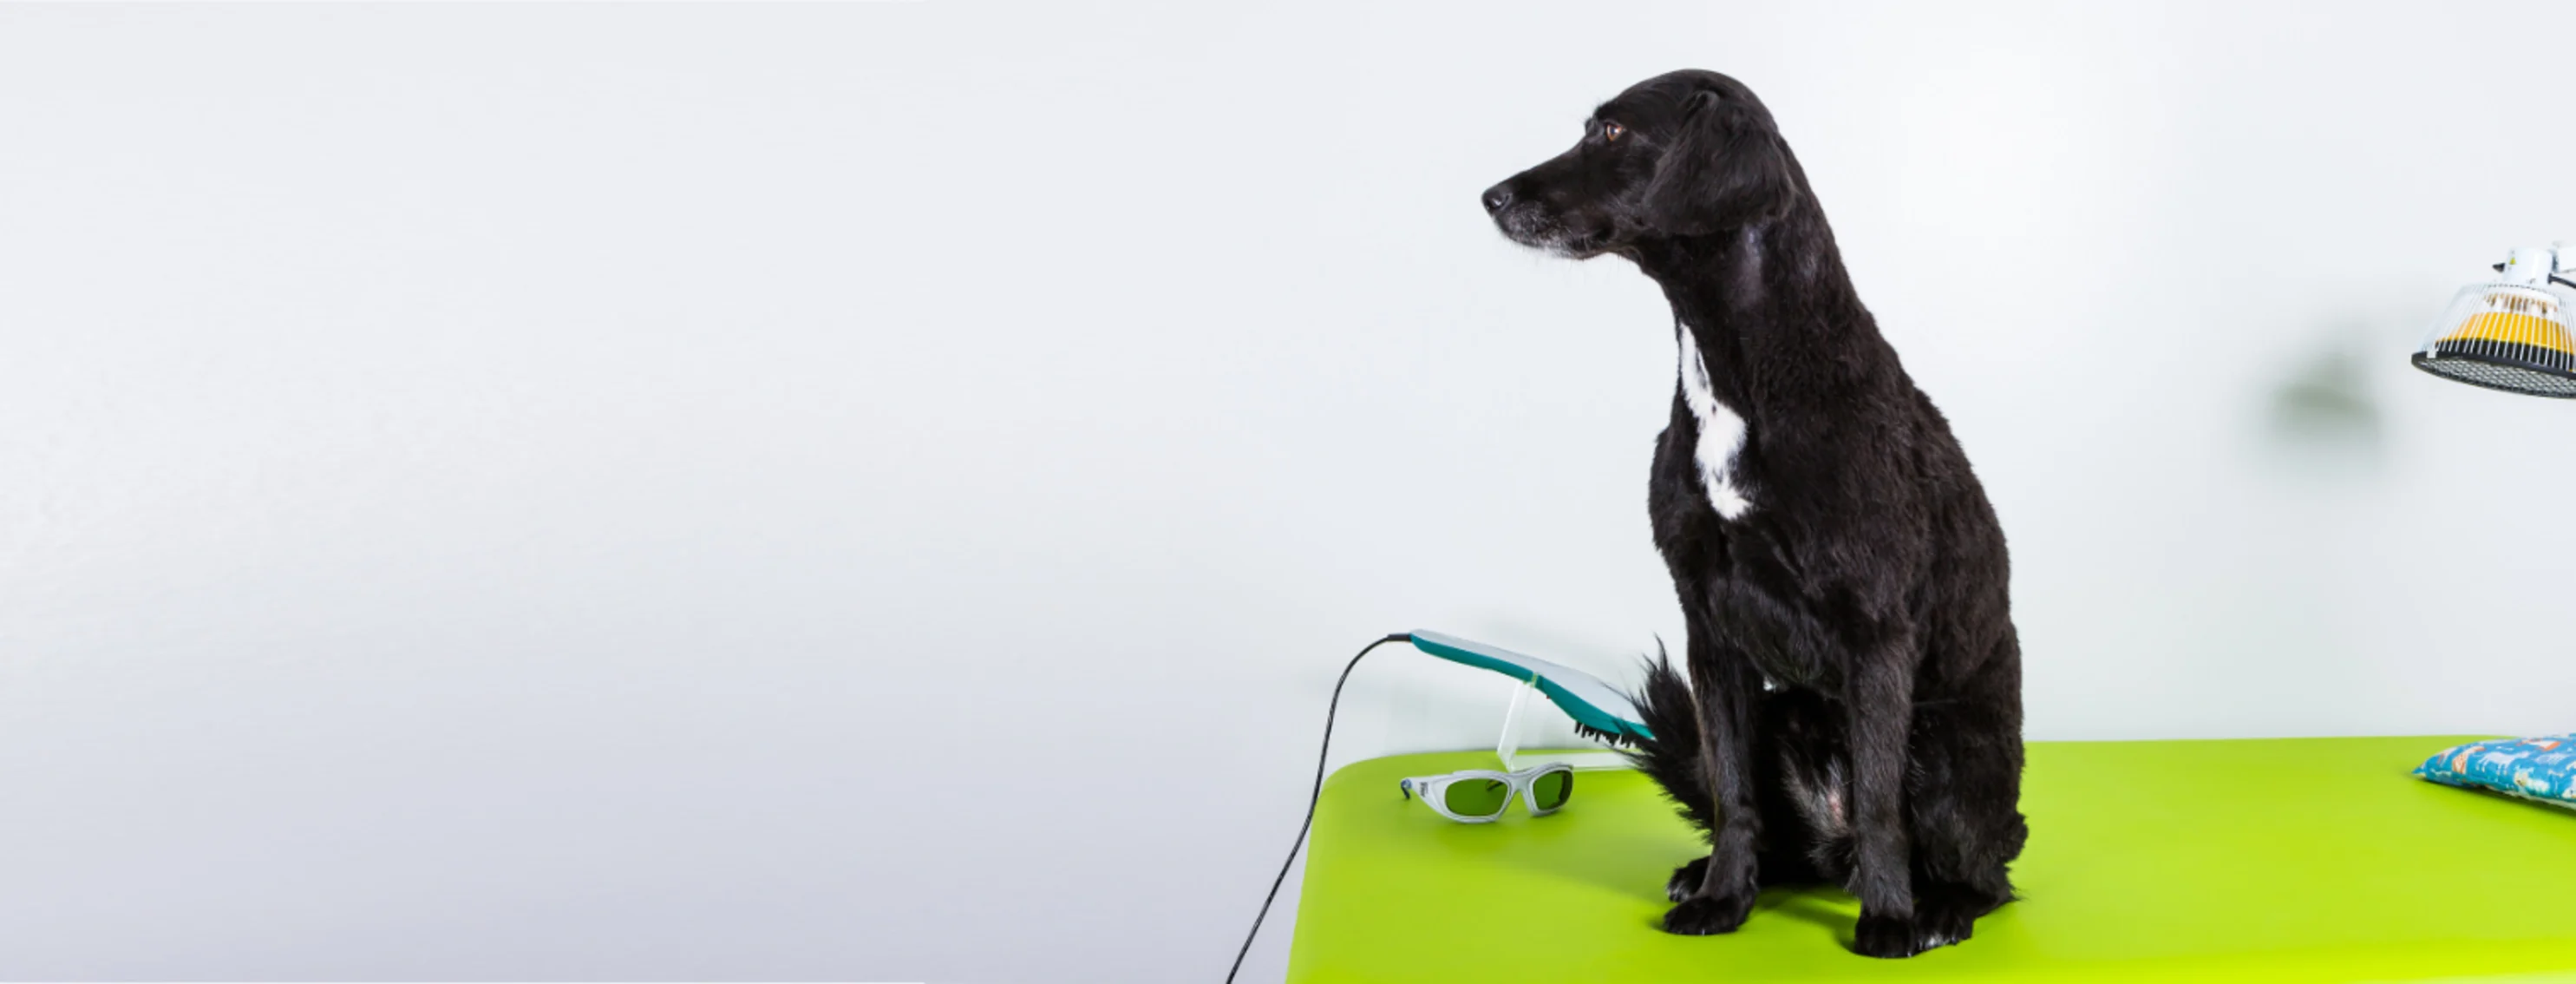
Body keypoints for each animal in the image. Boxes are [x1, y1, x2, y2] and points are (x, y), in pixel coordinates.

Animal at [1483, 71, 2019, 963]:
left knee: (1983, 870)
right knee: (1775, 831)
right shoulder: (1711, 627)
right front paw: (1723, 898)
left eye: (1613, 132)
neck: (1739, 375)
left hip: (1948, 749)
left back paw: (1937, 907)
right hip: (1779, 713)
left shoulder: (1876, 632)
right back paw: (1714, 872)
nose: (1492, 196)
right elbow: (1733, 796)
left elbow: (1880, 805)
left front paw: (1890, 922)